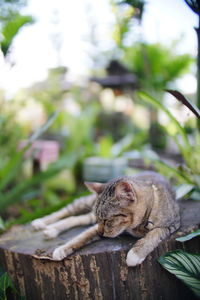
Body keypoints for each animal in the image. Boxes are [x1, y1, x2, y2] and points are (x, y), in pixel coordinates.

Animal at [31, 171, 180, 268]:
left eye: (107, 220)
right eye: (100, 220)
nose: (100, 233)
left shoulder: (173, 223)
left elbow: (154, 234)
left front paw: (135, 254)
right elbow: (82, 236)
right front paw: (62, 249)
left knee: (77, 218)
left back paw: (51, 229)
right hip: (86, 203)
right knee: (69, 211)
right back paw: (41, 222)